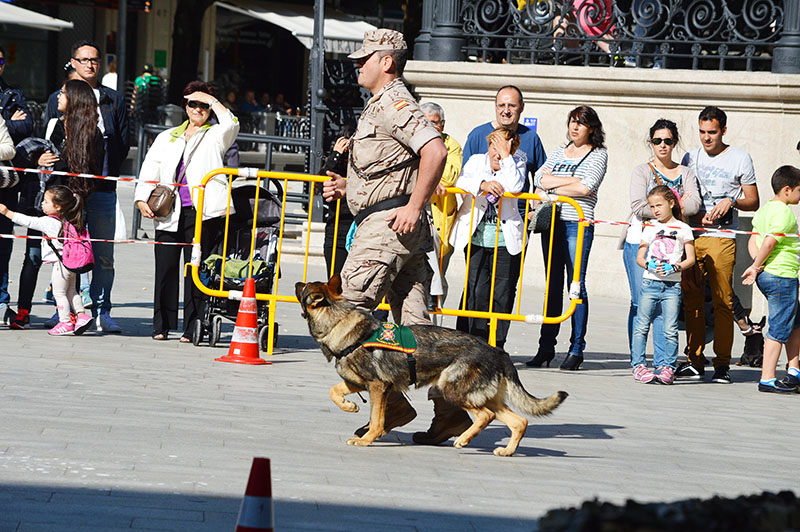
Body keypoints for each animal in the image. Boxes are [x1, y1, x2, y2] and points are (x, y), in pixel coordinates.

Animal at [296, 276, 568, 456]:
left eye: (305, 288)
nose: (297, 283)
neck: (338, 321)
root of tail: (497, 351)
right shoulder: (359, 383)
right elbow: (334, 391)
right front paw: (349, 406)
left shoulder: (377, 387)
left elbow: (376, 420)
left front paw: (367, 440)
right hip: (486, 397)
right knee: (519, 421)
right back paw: (507, 451)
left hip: (454, 390)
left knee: (485, 416)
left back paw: (464, 440)